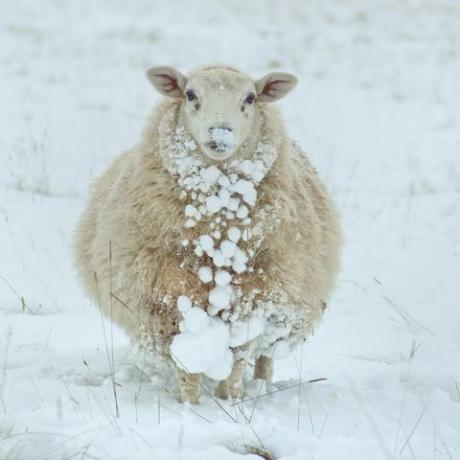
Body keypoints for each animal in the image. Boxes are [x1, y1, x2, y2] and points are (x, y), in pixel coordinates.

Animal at [73, 63, 342, 402]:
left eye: (251, 98)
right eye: (190, 94)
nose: (220, 134)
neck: (217, 238)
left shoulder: (254, 297)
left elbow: (240, 356)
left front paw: (232, 398)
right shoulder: (170, 301)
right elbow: (187, 368)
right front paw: (191, 405)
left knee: (265, 357)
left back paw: (261, 386)